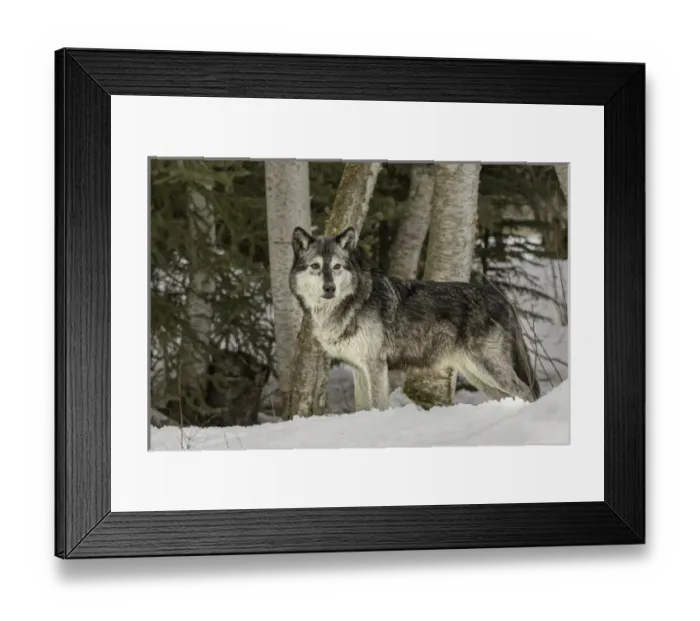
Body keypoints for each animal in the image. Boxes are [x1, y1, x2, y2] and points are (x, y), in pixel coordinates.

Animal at [289, 226, 540, 411]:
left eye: (337, 266)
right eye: (315, 266)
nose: (329, 288)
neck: (353, 304)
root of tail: (502, 298)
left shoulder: (376, 366)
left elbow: (378, 406)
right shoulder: (358, 368)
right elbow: (363, 408)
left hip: (488, 368)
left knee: (527, 392)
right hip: (477, 374)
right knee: (507, 396)